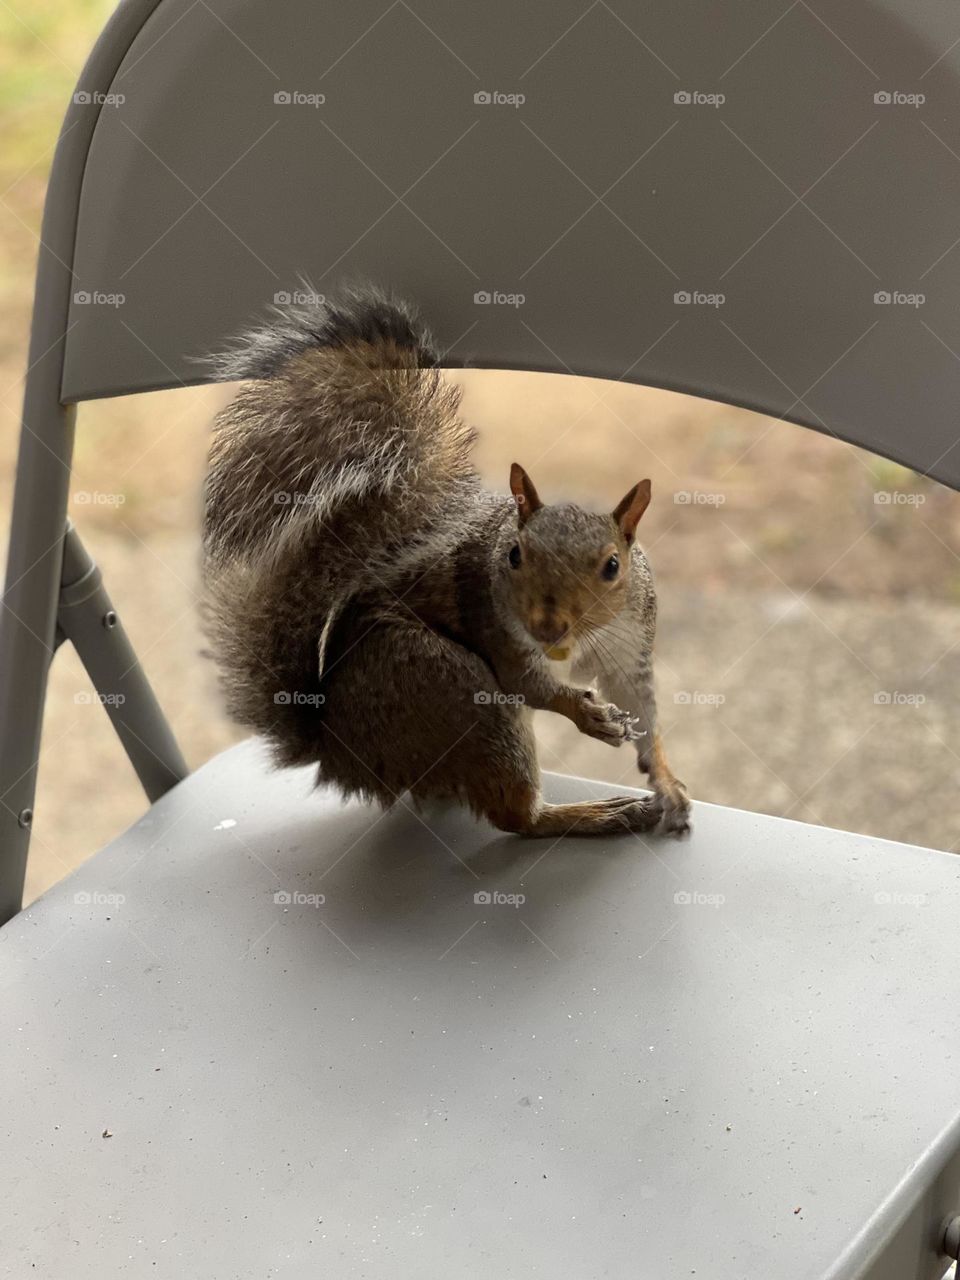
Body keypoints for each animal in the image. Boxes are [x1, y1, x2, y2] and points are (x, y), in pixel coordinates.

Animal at [202, 287, 690, 838]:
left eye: (611, 566)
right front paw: (588, 715)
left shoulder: (632, 641)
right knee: (514, 817)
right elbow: (527, 684)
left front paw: (666, 781)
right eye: (514, 555)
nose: (546, 627)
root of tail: (342, 754)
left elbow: (640, 706)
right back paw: (593, 815)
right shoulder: (493, 624)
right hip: (452, 689)